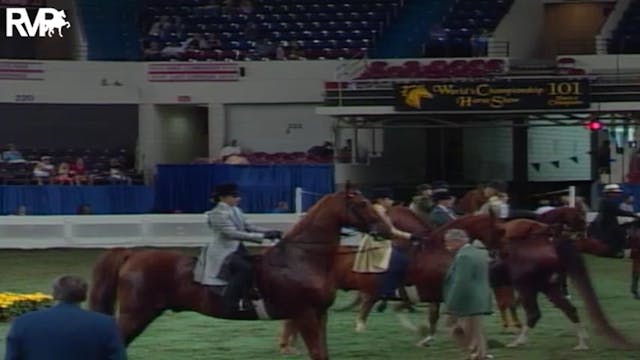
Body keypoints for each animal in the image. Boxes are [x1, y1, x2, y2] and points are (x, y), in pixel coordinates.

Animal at [87, 190, 392, 358]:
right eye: (362, 204)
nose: (386, 230)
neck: (301, 259)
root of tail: (133, 254)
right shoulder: (305, 314)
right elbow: (317, 352)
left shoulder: (320, 314)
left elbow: (323, 353)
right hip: (135, 314)